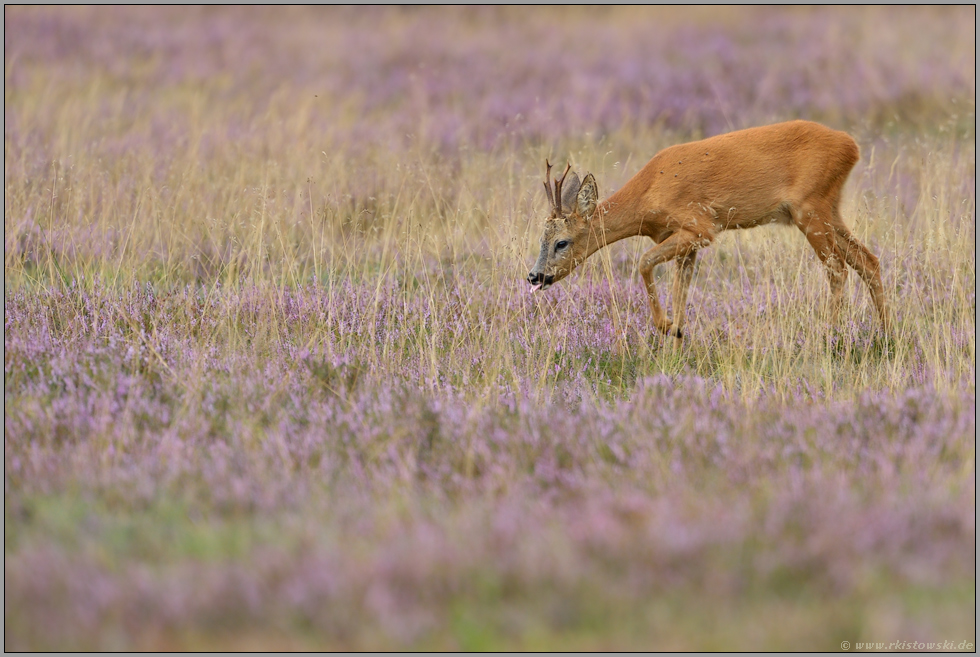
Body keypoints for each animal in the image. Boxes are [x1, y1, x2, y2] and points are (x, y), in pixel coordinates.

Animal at [532, 119, 892, 344]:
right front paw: (676, 340)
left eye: (562, 242)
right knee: (868, 261)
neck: (648, 194)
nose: (535, 276)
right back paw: (886, 333)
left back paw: (828, 336)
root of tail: (851, 146)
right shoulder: (684, 242)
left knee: (837, 268)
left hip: (811, 209)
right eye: (541, 238)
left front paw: (665, 326)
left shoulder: (699, 227)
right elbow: (681, 291)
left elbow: (644, 263)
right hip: (828, 209)